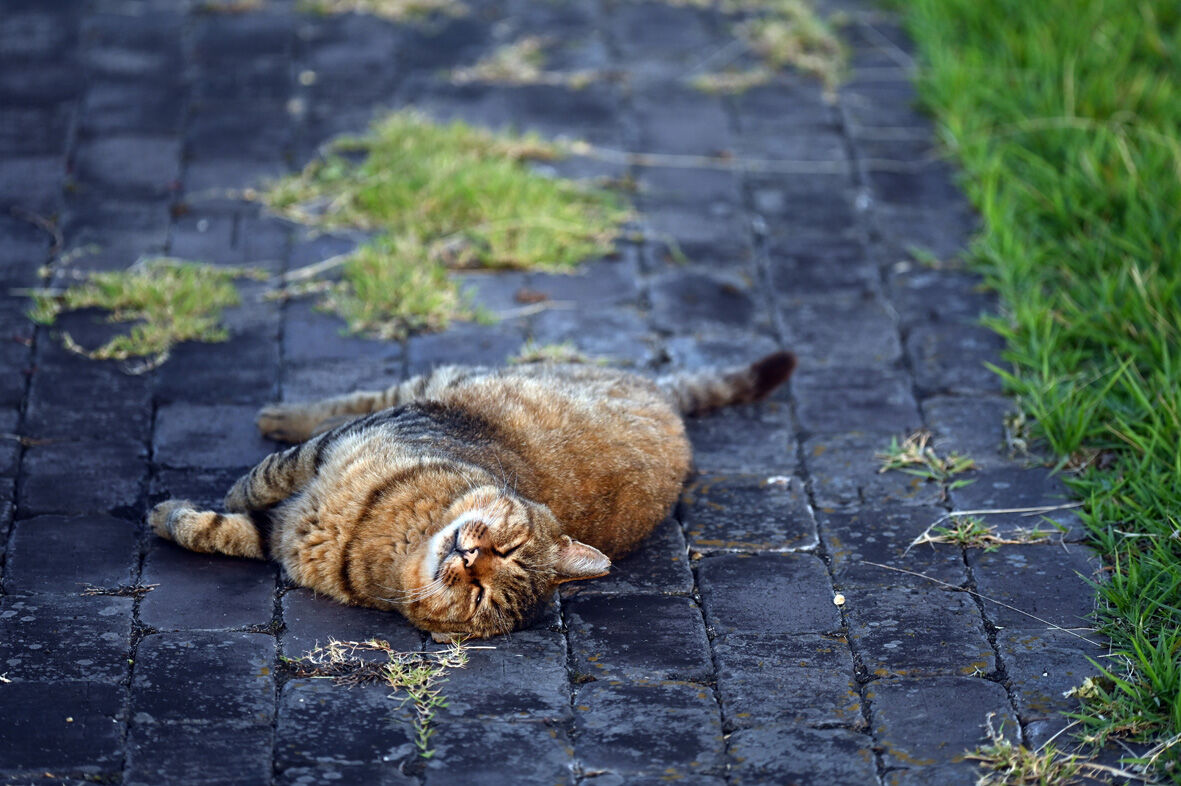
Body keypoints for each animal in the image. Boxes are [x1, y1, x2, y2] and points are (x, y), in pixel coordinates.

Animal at [149, 352, 795, 640]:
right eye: (506, 548)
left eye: (482, 595)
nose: (467, 558)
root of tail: (665, 400)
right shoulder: (330, 451)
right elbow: (257, 482)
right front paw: (201, 498)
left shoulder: (285, 537)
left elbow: (224, 531)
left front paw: (170, 517)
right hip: (430, 387)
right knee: (344, 405)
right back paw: (278, 415)